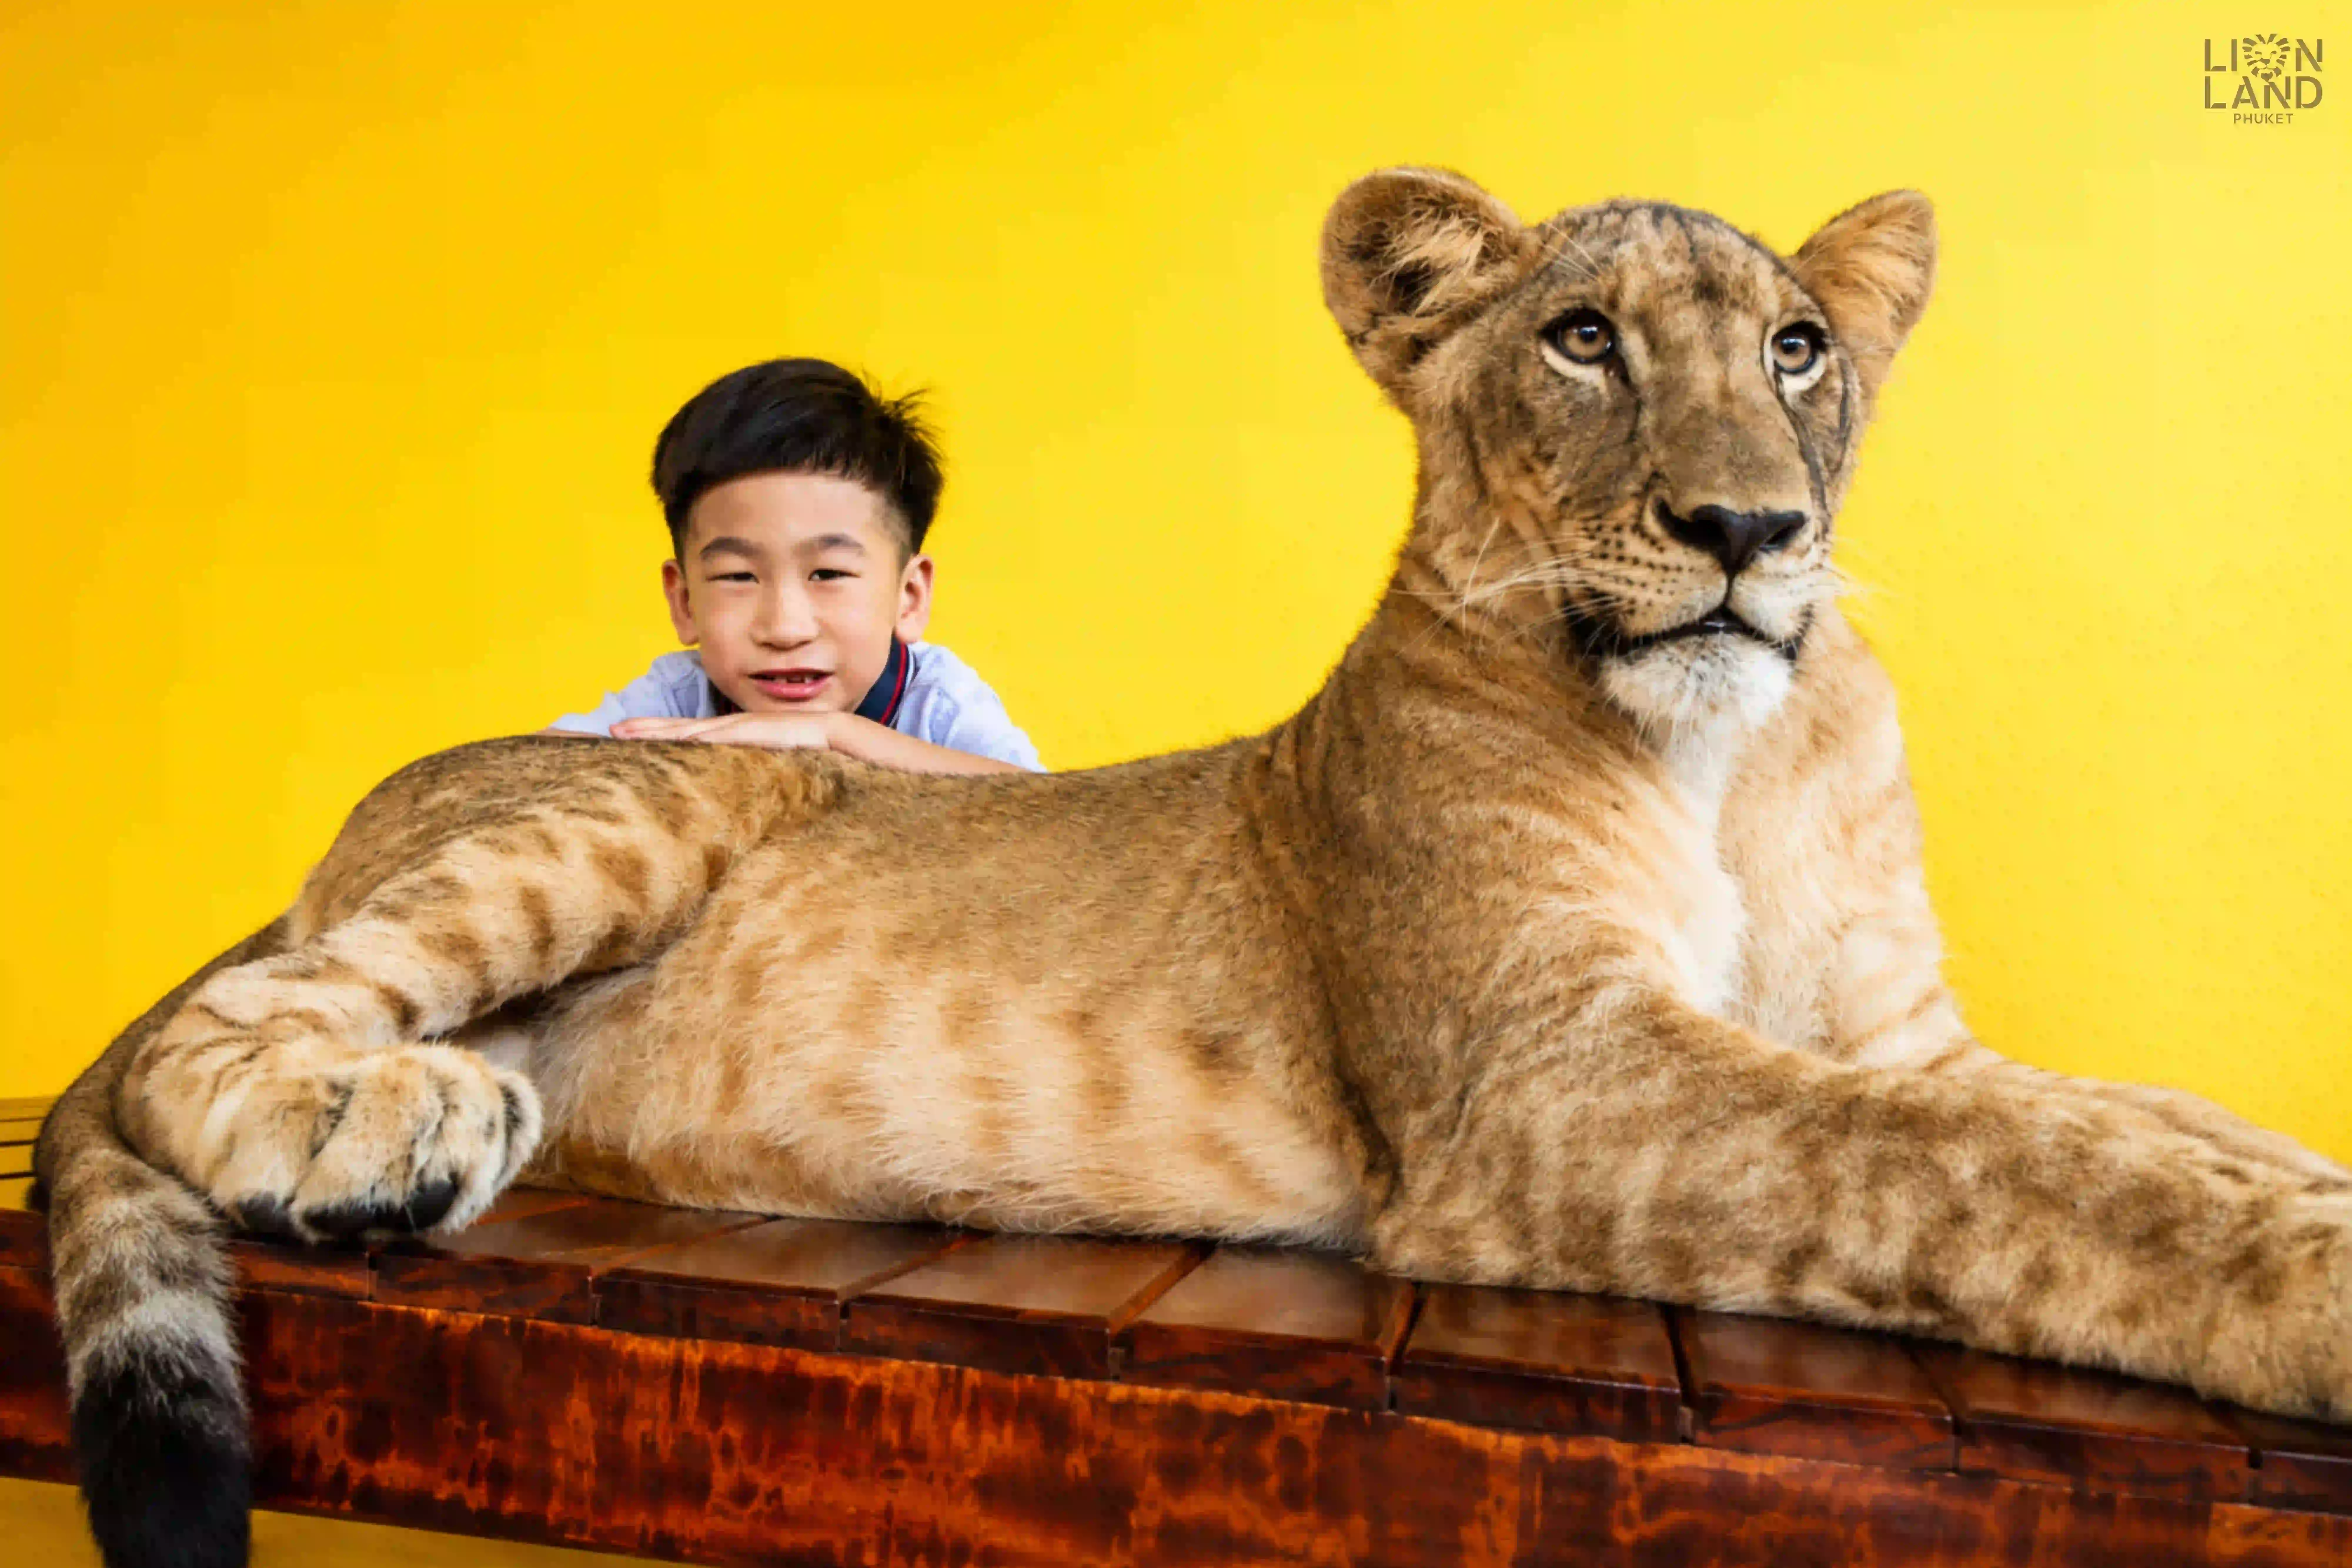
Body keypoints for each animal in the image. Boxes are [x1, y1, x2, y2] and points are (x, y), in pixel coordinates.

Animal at [37, 167, 2352, 1568]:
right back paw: (375, 1121)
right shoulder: (1537, 1093)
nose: (1744, 531)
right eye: (1580, 338)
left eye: (1797, 348)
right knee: (213, 1024)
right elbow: (2010, 1176)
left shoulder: (1898, 1036)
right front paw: (2315, 1290)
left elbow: (2136, 1128)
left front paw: (2294, 1186)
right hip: (678, 798)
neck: (1727, 751)